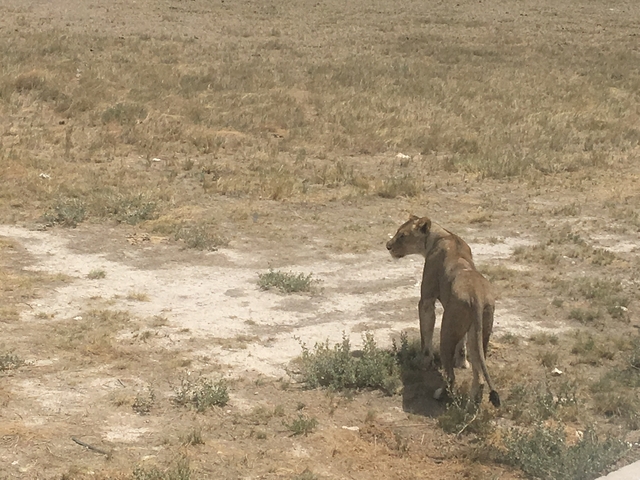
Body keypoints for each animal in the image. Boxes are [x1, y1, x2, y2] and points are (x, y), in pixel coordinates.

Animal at [386, 215, 500, 407]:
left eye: (402, 235)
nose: (388, 246)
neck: (442, 235)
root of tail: (477, 296)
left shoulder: (426, 300)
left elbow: (425, 336)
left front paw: (423, 362)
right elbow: (462, 346)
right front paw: (461, 362)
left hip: (447, 330)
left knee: (451, 376)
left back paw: (440, 394)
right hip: (480, 332)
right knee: (479, 375)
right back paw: (471, 404)